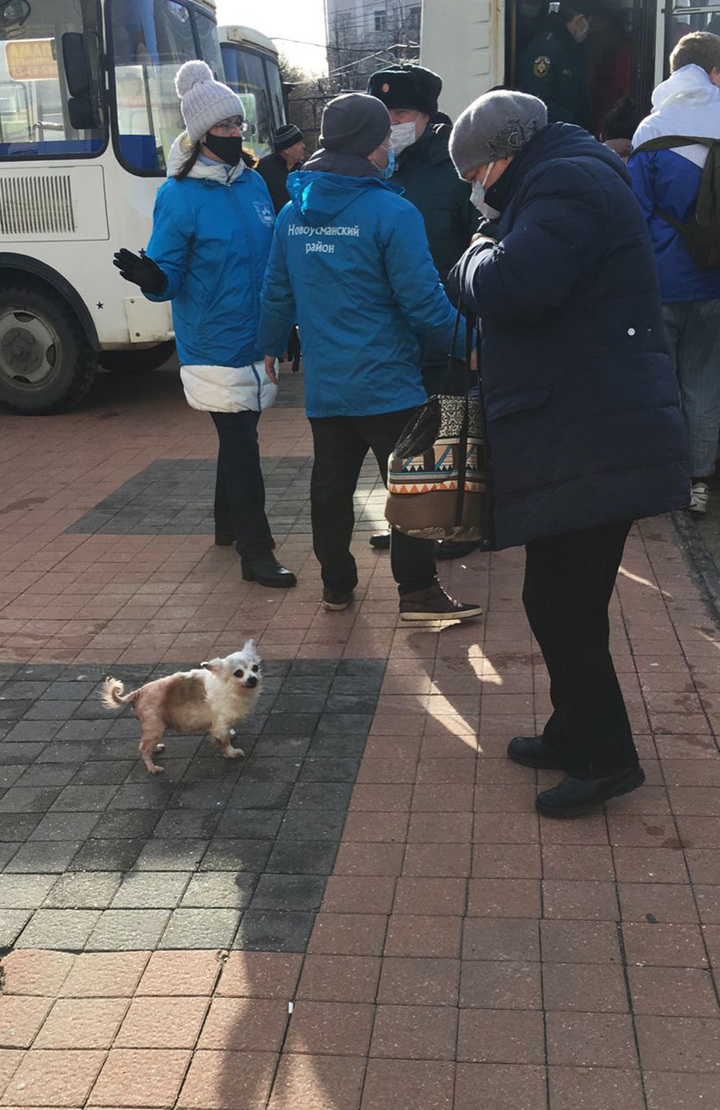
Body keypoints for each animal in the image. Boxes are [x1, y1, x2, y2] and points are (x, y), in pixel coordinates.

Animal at [99, 639, 259, 777]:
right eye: (238, 673)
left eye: (255, 668)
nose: (253, 678)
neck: (233, 687)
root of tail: (137, 693)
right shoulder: (220, 723)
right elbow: (224, 741)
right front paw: (232, 753)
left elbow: (227, 733)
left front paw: (231, 734)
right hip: (155, 728)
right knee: (143, 749)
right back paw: (153, 768)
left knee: (145, 744)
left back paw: (155, 748)